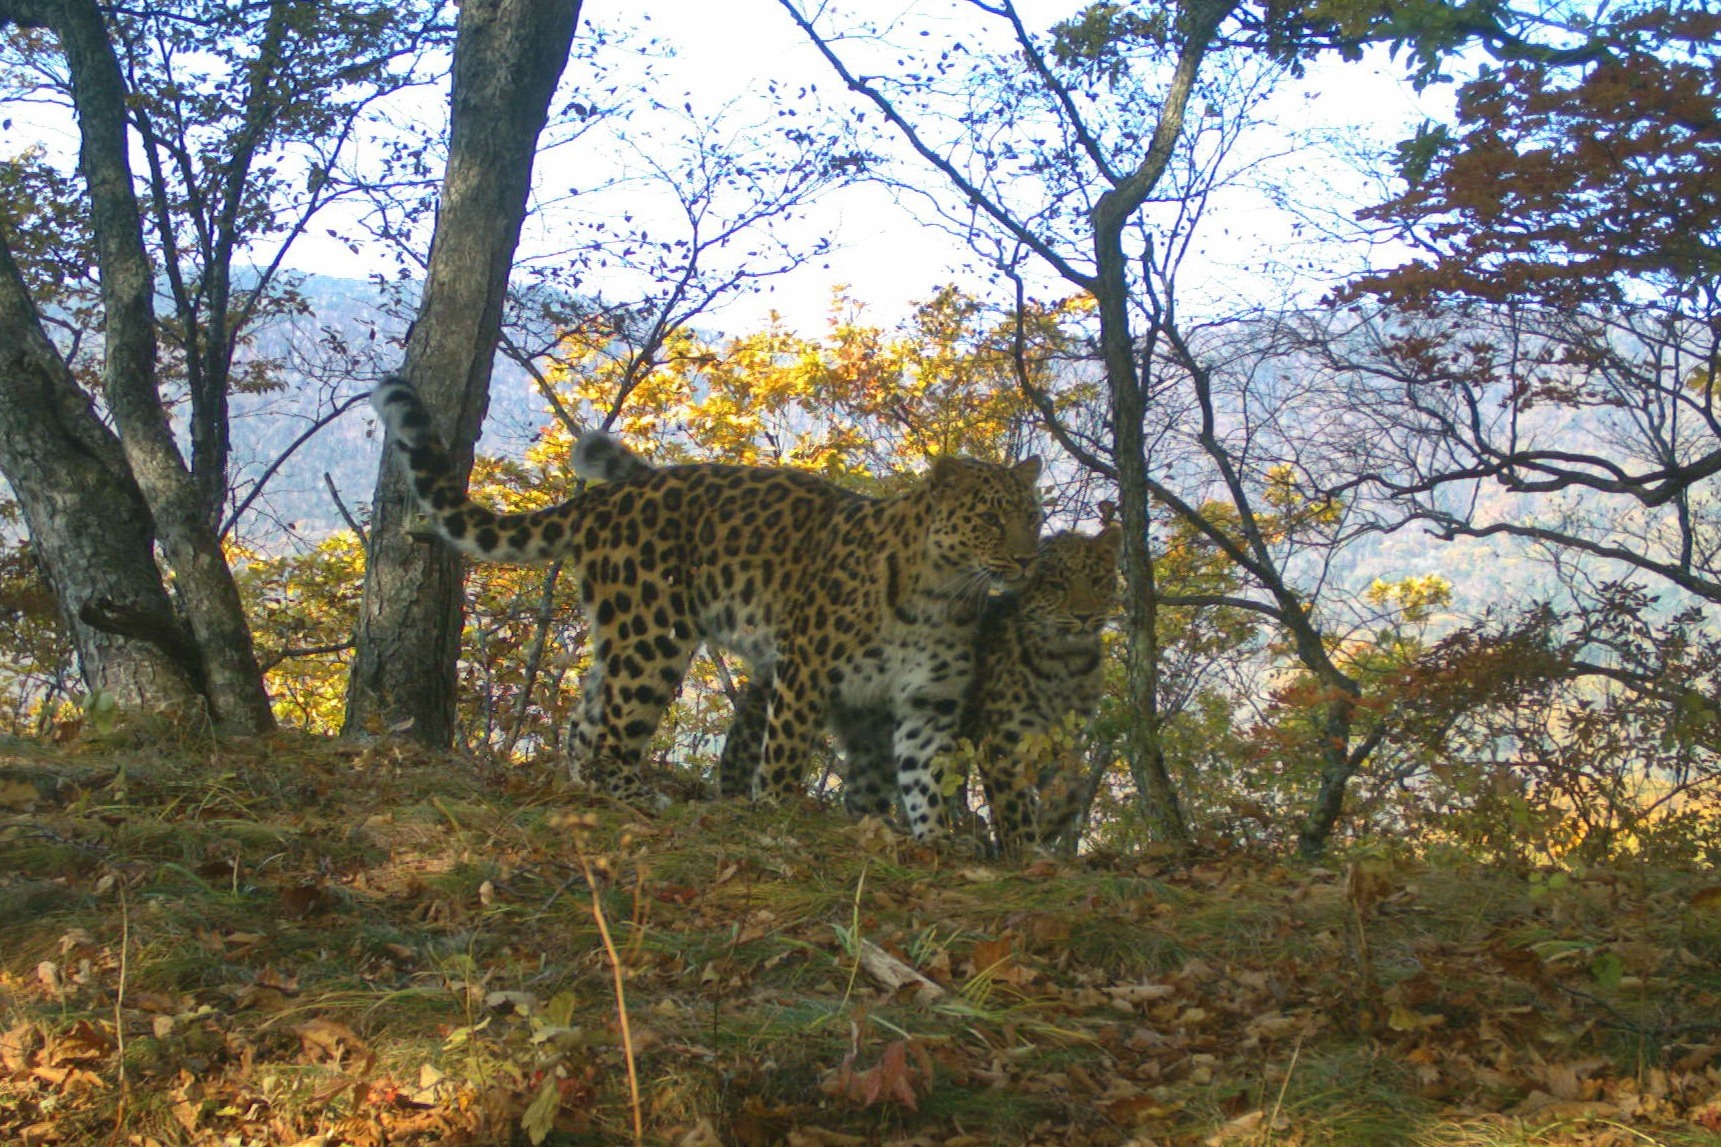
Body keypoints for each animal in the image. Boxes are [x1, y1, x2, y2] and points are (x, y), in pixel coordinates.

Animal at [371, 375, 1039, 830]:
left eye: (1032, 516)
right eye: (988, 518)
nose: (1028, 559)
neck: (941, 594)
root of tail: (606, 497)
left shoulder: (928, 699)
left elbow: (925, 776)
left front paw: (932, 842)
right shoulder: (806, 666)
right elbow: (785, 748)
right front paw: (774, 811)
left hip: (620, 630)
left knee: (586, 719)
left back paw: (584, 789)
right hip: (653, 633)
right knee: (614, 731)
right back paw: (640, 798)